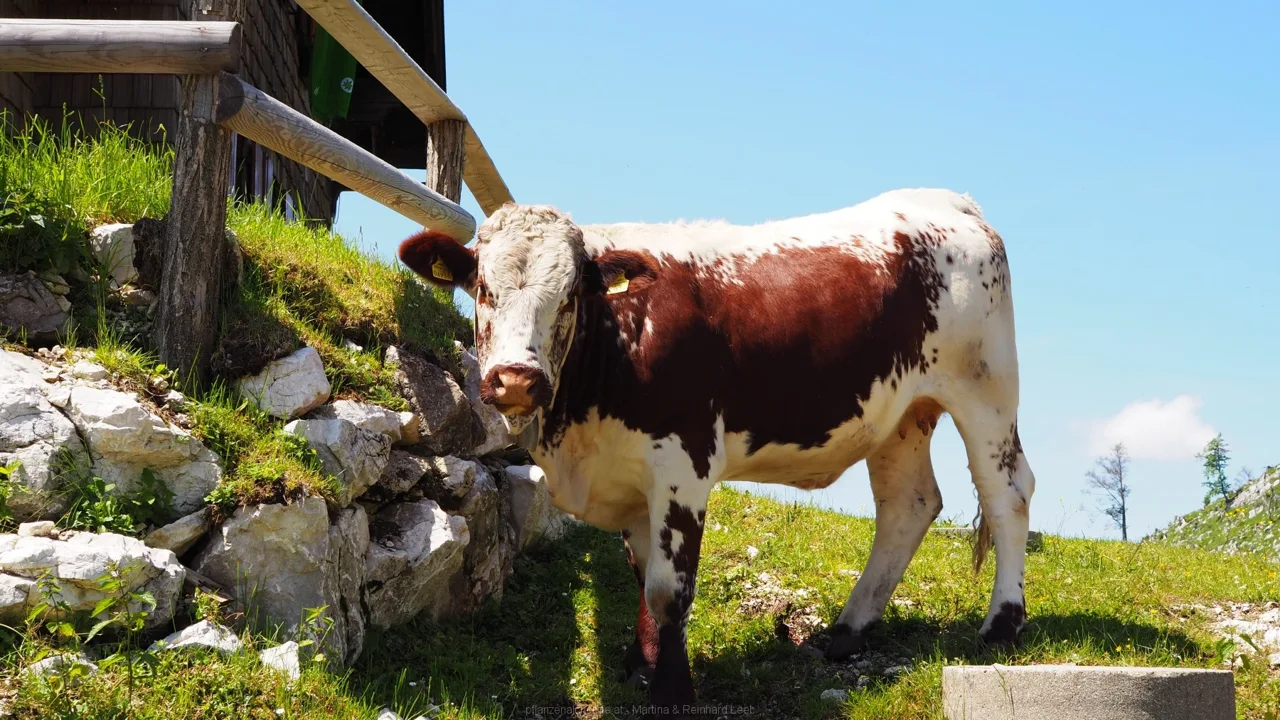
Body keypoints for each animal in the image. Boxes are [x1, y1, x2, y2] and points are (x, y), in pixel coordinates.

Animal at [397, 187, 1036, 716]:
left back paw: (1001, 625)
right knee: (909, 505)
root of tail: (946, 201)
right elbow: (640, 575)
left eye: (570, 297)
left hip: (985, 389)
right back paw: (847, 631)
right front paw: (639, 666)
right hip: (902, 416)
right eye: (483, 290)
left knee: (1008, 493)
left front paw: (672, 690)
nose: (516, 378)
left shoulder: (682, 466)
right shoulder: (631, 478)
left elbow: (668, 588)